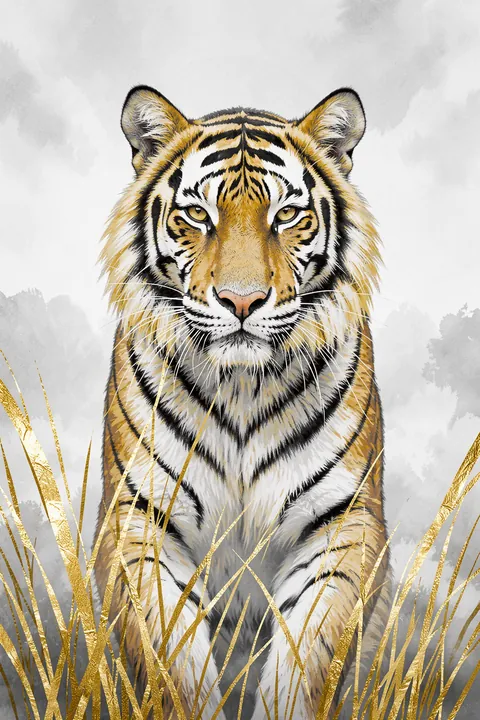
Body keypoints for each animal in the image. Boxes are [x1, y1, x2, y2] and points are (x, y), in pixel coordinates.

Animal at [94, 84, 391, 720]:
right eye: (197, 216)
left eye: (287, 216)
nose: (242, 300)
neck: (241, 386)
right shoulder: (141, 518)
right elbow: (173, 663)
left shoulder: (341, 520)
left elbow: (306, 659)